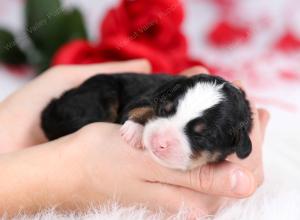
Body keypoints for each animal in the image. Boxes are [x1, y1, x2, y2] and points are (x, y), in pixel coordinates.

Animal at [41, 73, 253, 170]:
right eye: (165, 110)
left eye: (202, 135)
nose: (159, 142)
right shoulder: (148, 95)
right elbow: (142, 106)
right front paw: (134, 130)